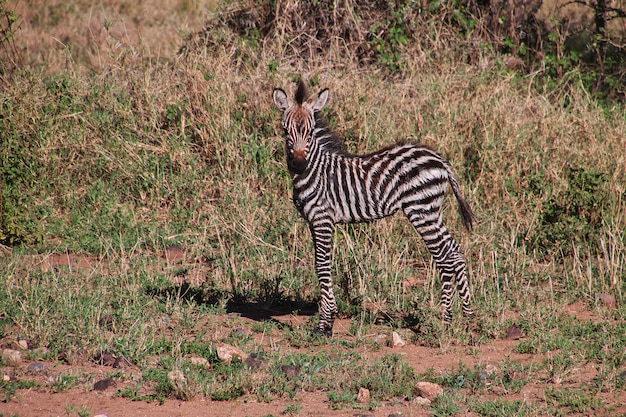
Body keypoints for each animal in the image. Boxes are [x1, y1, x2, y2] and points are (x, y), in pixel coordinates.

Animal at [270, 80, 470, 334]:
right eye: (286, 130)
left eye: (310, 131)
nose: (298, 164)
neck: (315, 171)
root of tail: (440, 160)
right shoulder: (313, 222)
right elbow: (320, 264)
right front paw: (329, 318)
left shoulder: (322, 219)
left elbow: (322, 265)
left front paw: (325, 324)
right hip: (432, 212)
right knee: (455, 251)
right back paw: (468, 316)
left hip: (421, 210)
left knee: (444, 257)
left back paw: (446, 321)